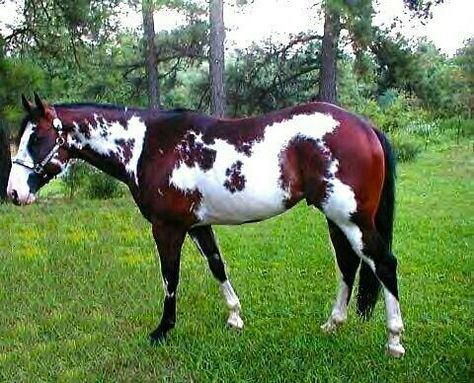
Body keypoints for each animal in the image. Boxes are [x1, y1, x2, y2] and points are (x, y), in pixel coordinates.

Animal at [7, 94, 406, 356]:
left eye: (37, 137)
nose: (13, 192)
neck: (146, 145)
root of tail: (366, 126)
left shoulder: (167, 227)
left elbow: (170, 278)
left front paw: (162, 330)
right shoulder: (197, 225)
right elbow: (217, 265)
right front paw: (235, 317)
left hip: (351, 219)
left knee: (384, 264)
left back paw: (394, 340)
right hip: (336, 219)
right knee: (348, 264)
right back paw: (333, 324)